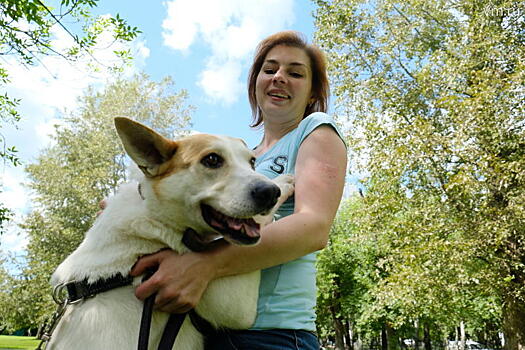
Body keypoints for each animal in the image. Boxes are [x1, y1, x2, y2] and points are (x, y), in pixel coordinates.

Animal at [46, 117, 292, 350]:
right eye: (212, 160)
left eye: (252, 162)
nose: (270, 192)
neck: (155, 215)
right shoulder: (238, 305)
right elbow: (261, 221)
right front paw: (284, 182)